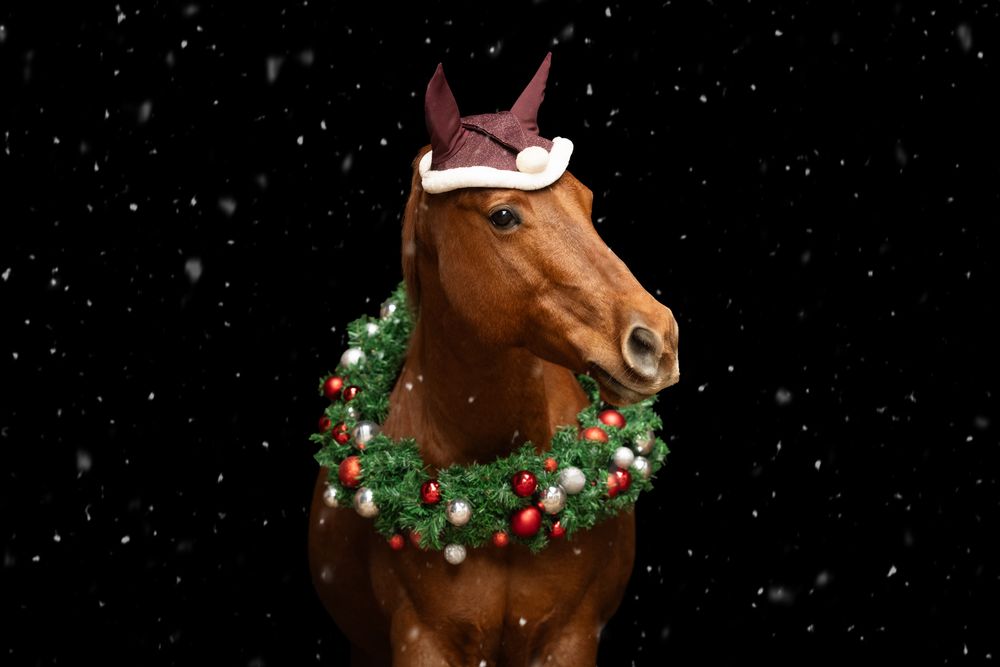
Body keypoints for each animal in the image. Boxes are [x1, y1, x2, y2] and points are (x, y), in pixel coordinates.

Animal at [308, 55, 679, 666]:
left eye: (586, 198)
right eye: (503, 215)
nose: (657, 340)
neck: (496, 495)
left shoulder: (570, 636)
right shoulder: (421, 640)